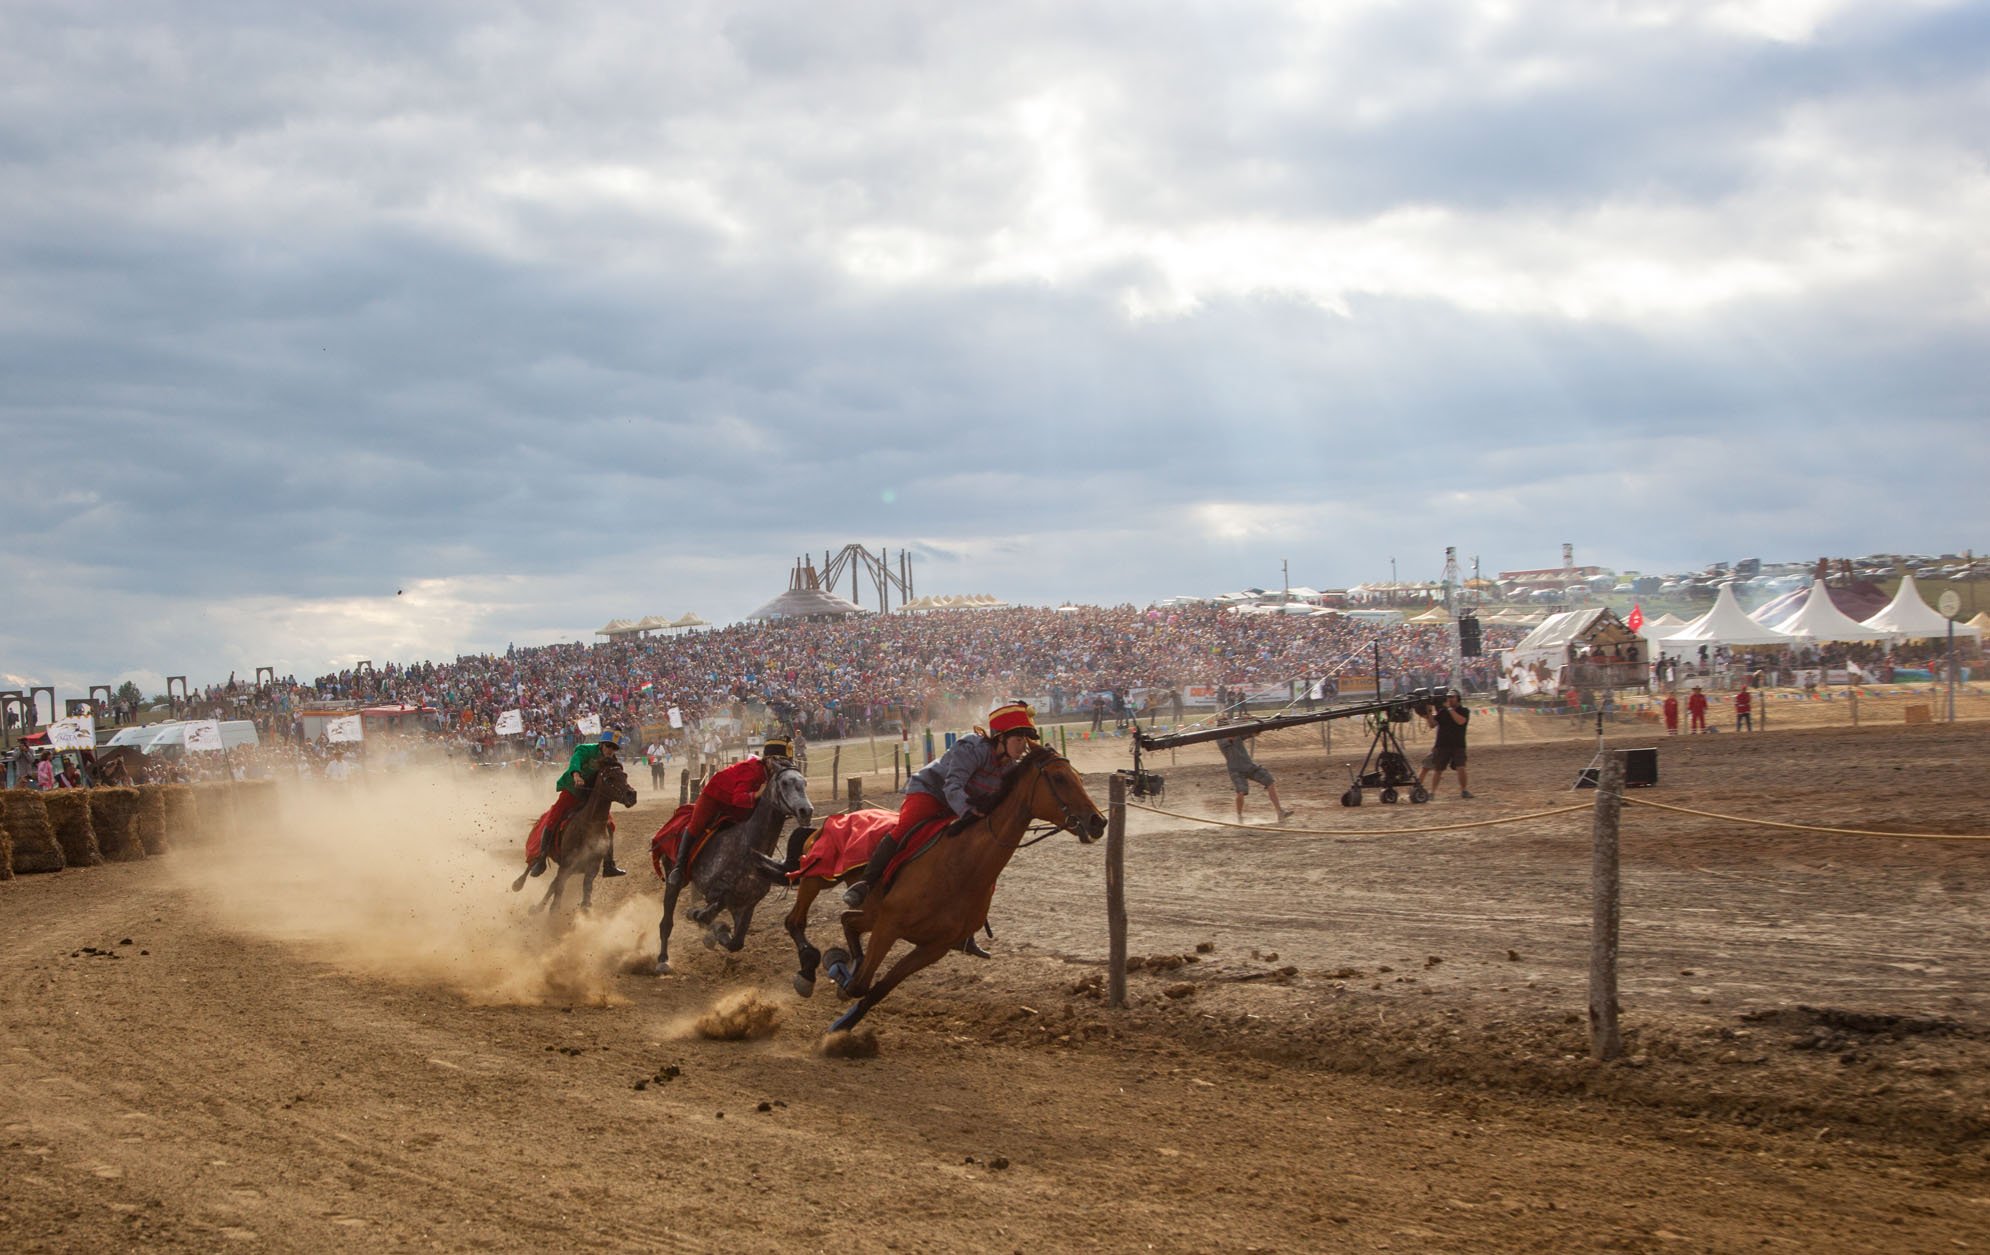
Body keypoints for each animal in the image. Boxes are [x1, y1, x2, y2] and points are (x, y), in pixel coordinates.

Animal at [652, 759, 807, 978]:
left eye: (804, 783)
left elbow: (736, 942)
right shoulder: (717, 893)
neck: (748, 847)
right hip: (674, 878)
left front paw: (714, 933)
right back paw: (663, 960)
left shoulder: (746, 905)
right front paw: (706, 924)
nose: (806, 811)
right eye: (785, 783)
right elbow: (706, 913)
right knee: (666, 921)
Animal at [819, 747, 1106, 1034]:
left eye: (1079, 778)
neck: (959, 867)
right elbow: (859, 986)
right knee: (849, 920)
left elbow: (877, 989)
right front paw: (838, 978)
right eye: (1059, 778)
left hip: (874, 915)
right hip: (877, 914)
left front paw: (842, 1025)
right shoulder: (889, 926)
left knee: (849, 920)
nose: (1098, 821)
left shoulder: (933, 947)